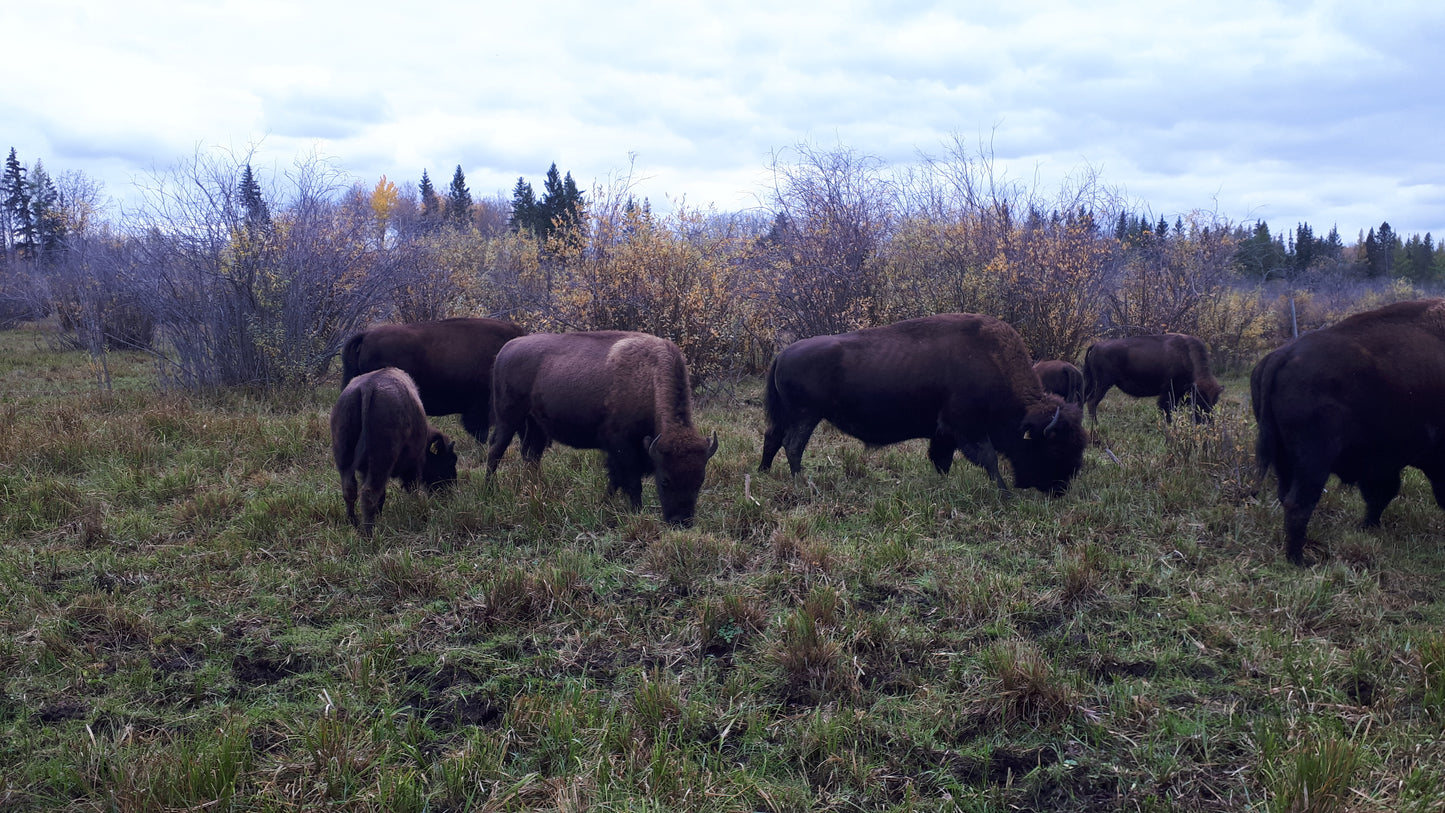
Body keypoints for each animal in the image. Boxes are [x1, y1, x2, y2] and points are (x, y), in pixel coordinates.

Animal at [331, 367, 458, 537]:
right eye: (450, 461)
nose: (451, 487)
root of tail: (367, 388)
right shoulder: (416, 463)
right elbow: (413, 488)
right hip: (382, 460)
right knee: (369, 493)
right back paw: (369, 533)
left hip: (344, 459)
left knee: (350, 490)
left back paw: (355, 524)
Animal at [487, 331, 719, 526]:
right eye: (664, 481)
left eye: (699, 481)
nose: (681, 522)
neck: (649, 378)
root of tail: (505, 350)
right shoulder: (622, 446)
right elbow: (631, 482)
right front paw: (636, 511)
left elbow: (614, 479)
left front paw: (605, 503)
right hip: (508, 419)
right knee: (496, 452)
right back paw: (490, 490)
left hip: (536, 425)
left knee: (531, 456)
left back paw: (538, 489)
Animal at [758, 313, 1087, 496]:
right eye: (1056, 448)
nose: (1060, 489)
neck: (992, 362)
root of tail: (784, 353)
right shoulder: (966, 428)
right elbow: (990, 459)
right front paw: (1005, 494)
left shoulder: (945, 434)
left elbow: (943, 461)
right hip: (806, 415)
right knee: (792, 445)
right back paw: (803, 482)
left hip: (789, 415)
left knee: (772, 438)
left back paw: (764, 473)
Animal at [1082, 333, 1222, 423]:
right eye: (1200, 399)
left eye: (1215, 401)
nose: (1208, 421)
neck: (1186, 355)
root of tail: (1096, 345)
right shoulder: (1169, 392)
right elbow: (1167, 409)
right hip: (1102, 384)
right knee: (1092, 401)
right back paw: (1096, 424)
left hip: (1093, 383)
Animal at [1252, 298, 1445, 565]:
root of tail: (1282, 355)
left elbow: (1381, 493)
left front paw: (1368, 527)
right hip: (1314, 461)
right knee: (1298, 504)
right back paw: (1301, 561)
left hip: (1282, 457)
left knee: (1286, 495)